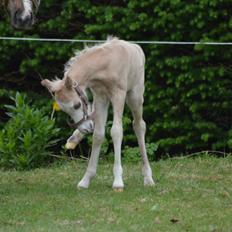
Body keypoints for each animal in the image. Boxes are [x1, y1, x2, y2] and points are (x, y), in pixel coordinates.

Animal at [42, 37, 154, 190]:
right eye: (65, 110)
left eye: (77, 105)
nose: (85, 128)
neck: (106, 65)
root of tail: (136, 48)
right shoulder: (100, 97)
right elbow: (98, 135)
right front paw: (86, 180)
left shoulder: (118, 94)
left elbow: (116, 131)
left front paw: (118, 181)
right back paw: (74, 139)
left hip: (134, 95)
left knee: (139, 126)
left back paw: (148, 177)